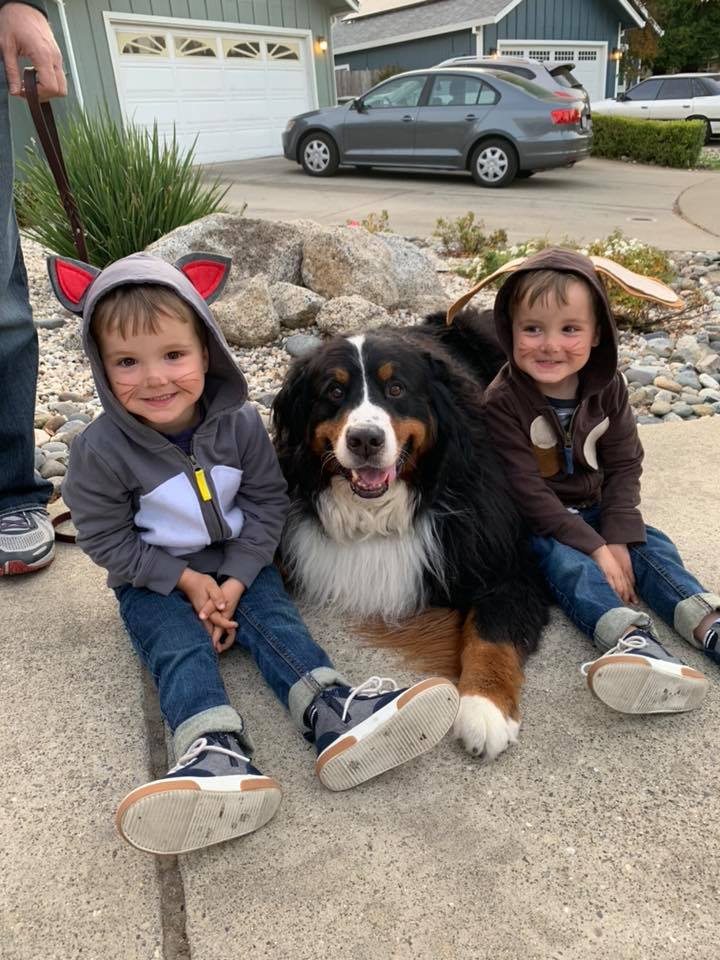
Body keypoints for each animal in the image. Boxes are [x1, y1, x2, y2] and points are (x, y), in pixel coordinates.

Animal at [272, 310, 548, 756]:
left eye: (396, 388)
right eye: (334, 391)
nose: (365, 439)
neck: (376, 515)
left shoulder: (507, 563)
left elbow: (491, 633)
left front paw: (484, 708)